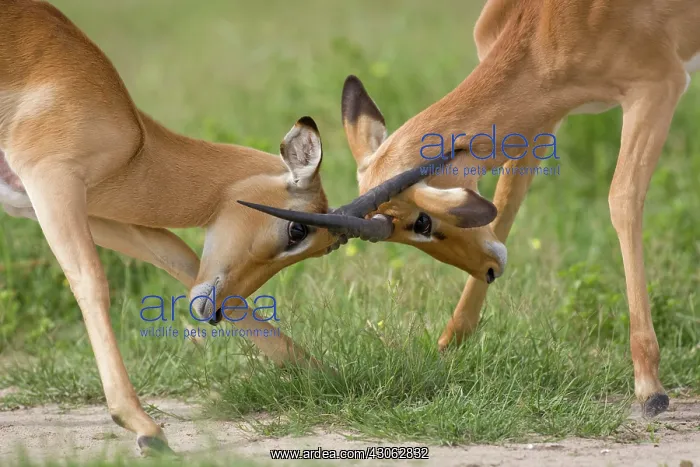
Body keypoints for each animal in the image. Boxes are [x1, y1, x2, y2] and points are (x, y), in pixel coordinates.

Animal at [0, 0, 502, 456]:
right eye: (296, 231)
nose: (212, 312)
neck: (136, 144)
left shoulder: (79, 208)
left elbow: (182, 261)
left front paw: (331, 377)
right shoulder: (54, 182)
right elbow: (92, 281)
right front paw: (146, 429)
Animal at [248, 0, 700, 418]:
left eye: (422, 222)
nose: (491, 268)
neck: (547, 25)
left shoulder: (658, 86)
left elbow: (622, 199)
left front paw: (650, 387)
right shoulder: (540, 119)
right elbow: (507, 202)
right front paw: (448, 346)